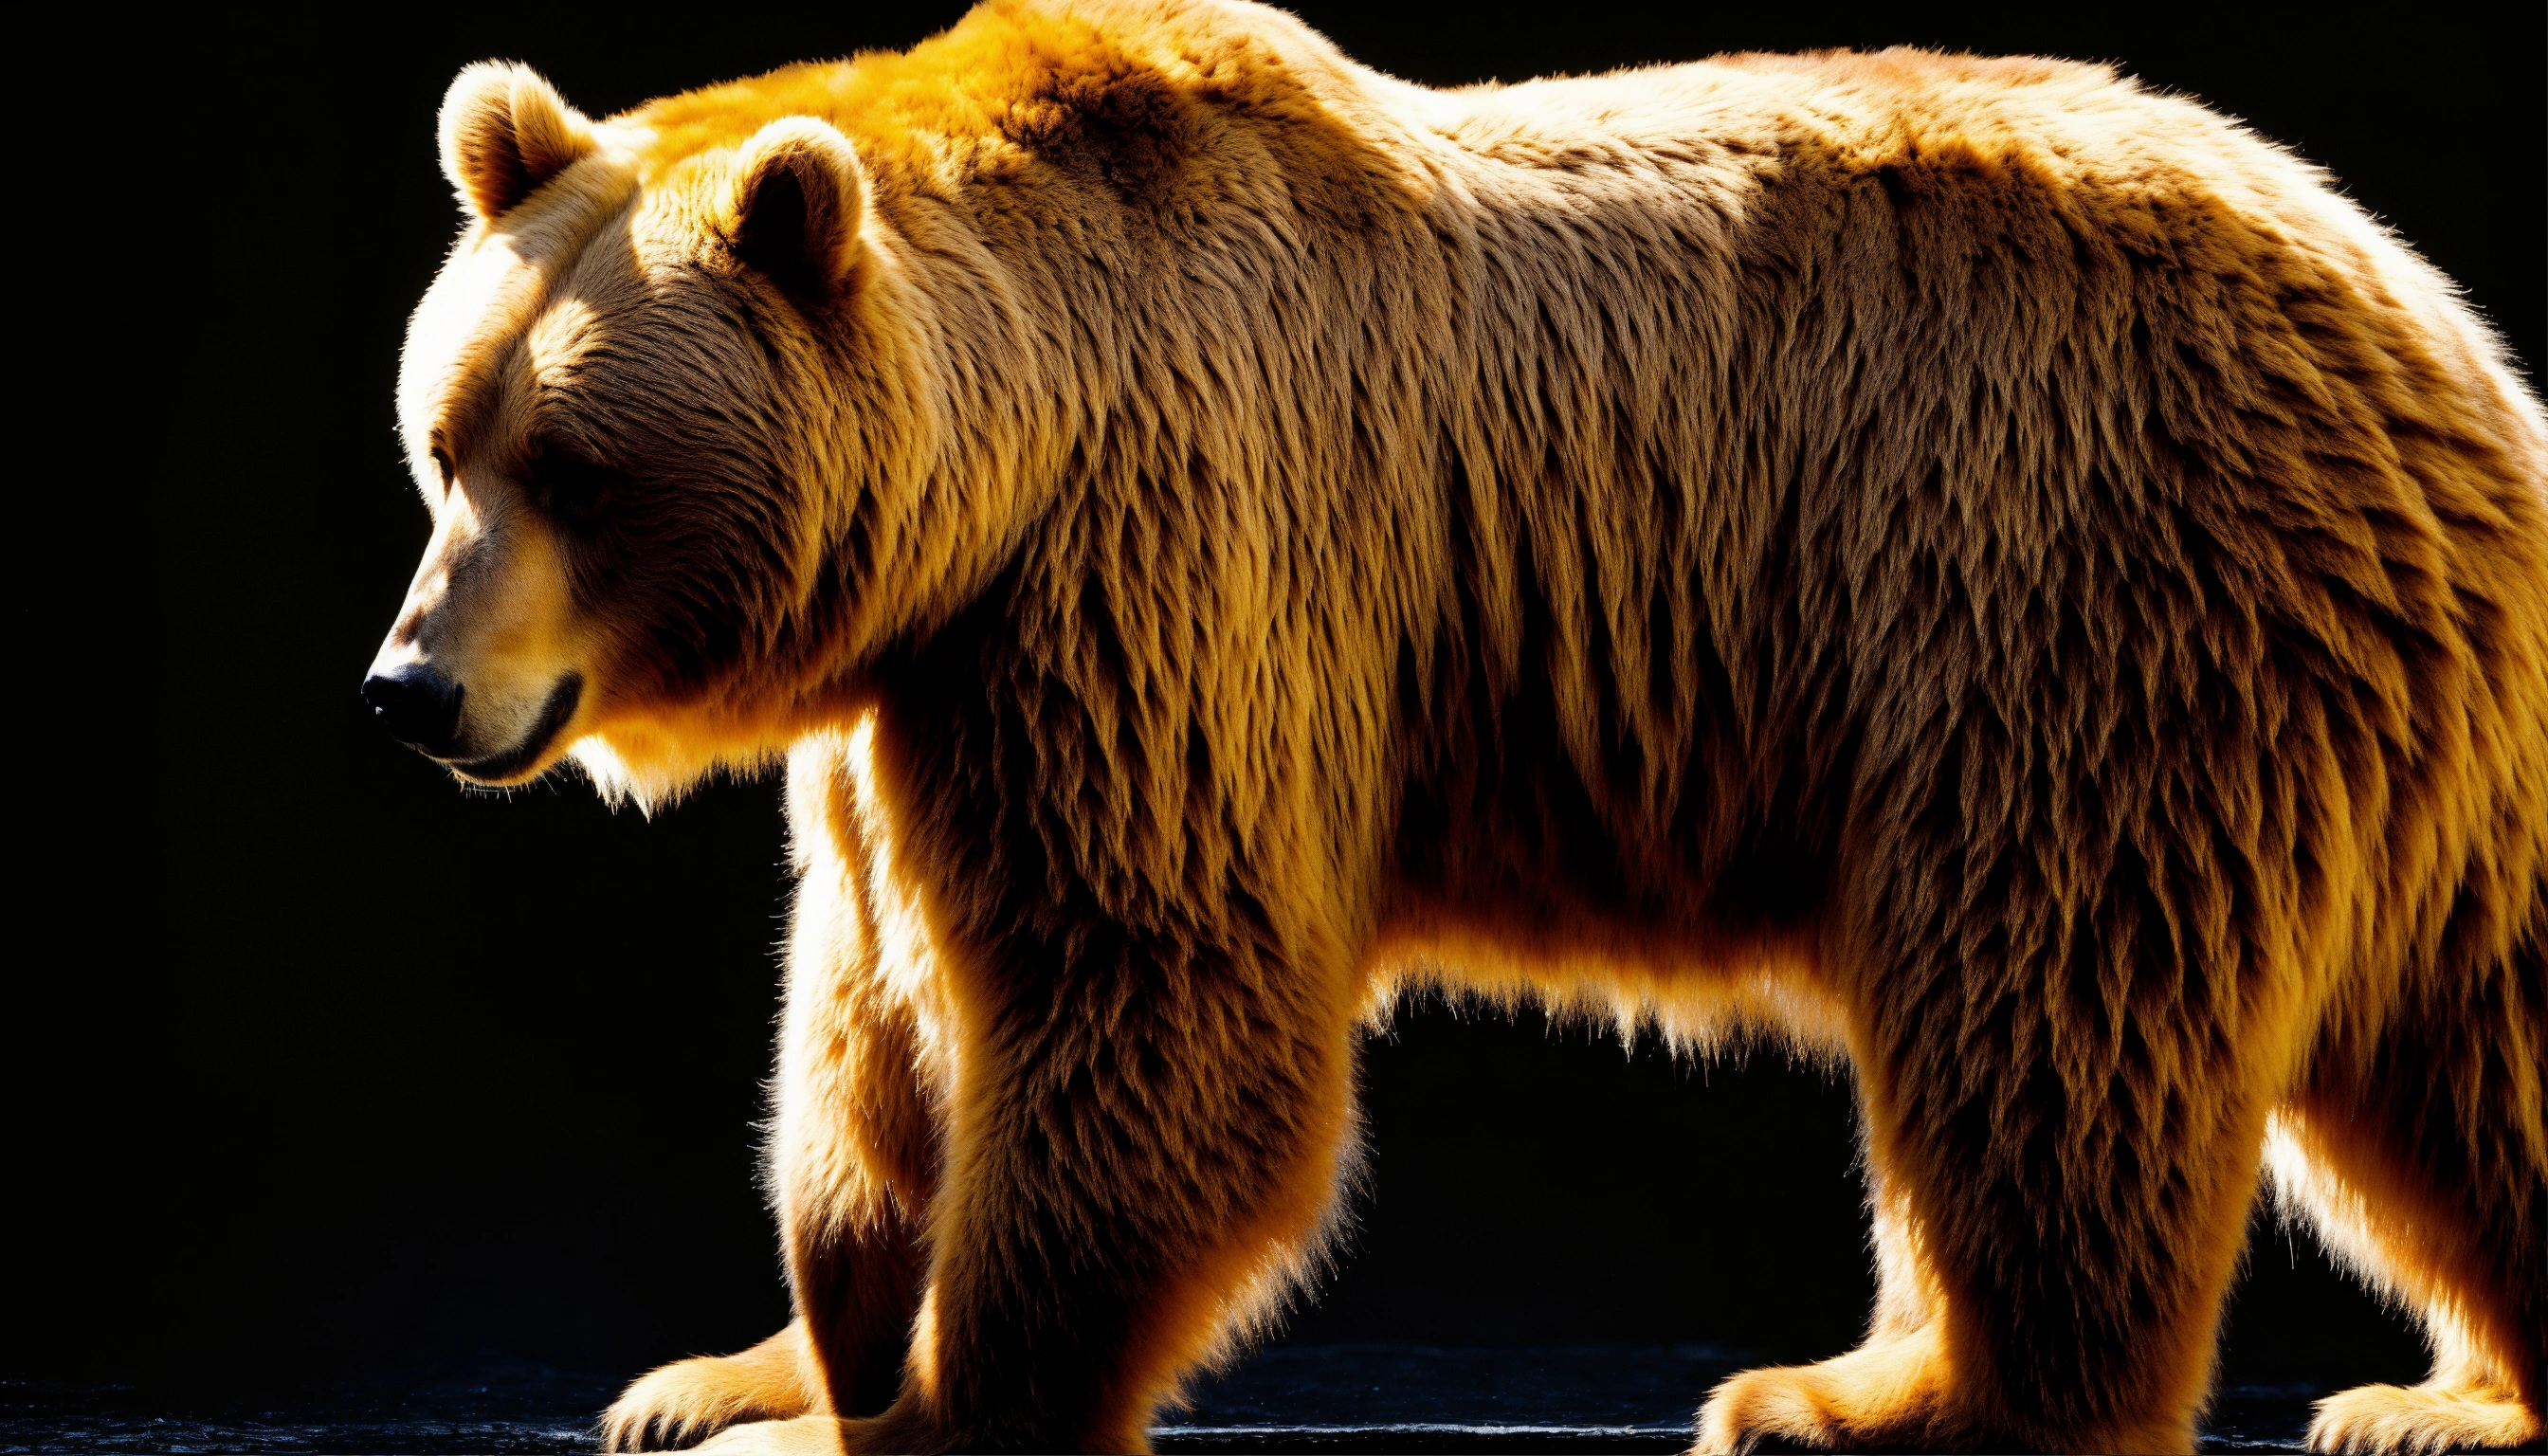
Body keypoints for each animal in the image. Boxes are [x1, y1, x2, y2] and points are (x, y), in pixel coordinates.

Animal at [360, 1, 2548, 1451]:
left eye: (576, 465)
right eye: (446, 439)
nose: (410, 687)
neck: (1006, 455)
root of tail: (2435, 322)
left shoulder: (1172, 564)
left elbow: (1149, 993)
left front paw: (917, 1408)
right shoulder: (930, 682)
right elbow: (869, 1018)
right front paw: (733, 1371)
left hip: (2081, 598)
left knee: (2055, 1016)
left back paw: (1956, 1402)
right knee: (2450, 1033)